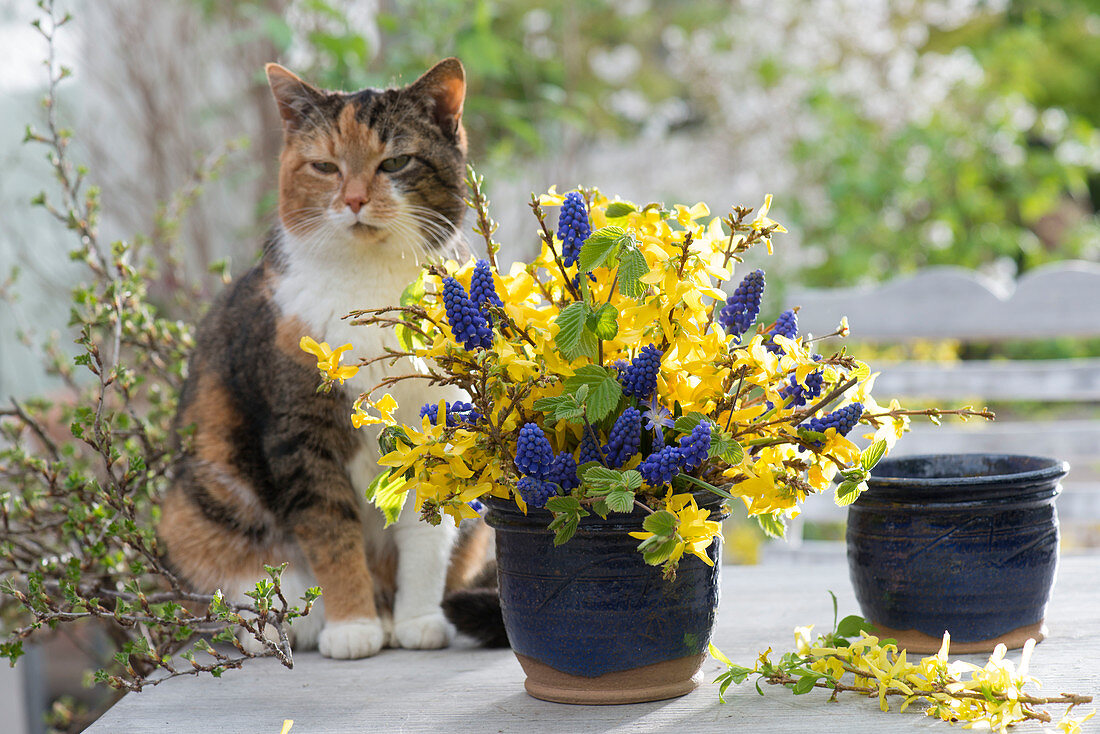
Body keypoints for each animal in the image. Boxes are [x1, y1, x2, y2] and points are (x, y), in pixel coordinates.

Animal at [157, 58, 503, 660]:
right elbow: (330, 532)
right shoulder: (300, 434)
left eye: (395, 162)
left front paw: (418, 620)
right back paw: (294, 623)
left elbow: (427, 530)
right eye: (324, 166)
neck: (370, 281)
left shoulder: (436, 425)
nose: (355, 200)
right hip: (194, 504)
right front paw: (351, 626)